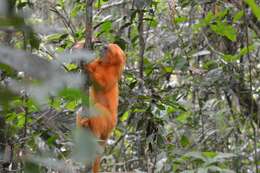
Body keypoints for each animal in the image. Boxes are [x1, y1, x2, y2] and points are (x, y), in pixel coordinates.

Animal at [76, 42, 126, 172]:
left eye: (107, 48)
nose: (102, 47)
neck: (106, 65)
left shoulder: (114, 73)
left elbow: (103, 86)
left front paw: (88, 67)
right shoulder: (98, 63)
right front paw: (80, 47)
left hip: (109, 121)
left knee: (99, 108)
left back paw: (95, 134)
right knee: (81, 111)